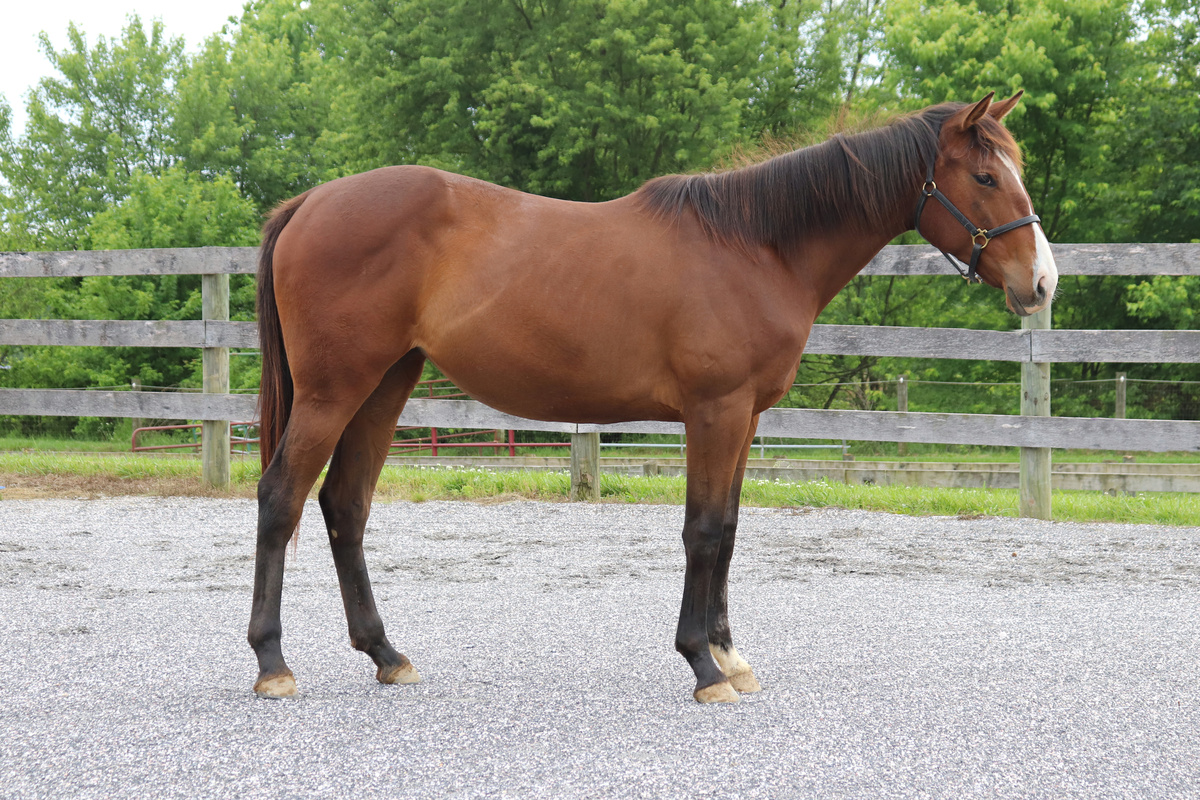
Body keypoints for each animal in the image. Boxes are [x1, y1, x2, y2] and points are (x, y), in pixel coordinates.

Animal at [248, 91, 1058, 703]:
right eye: (985, 176)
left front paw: (731, 658)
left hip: (386, 384)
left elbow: (727, 530)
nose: (1042, 282)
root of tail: (310, 202)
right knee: (282, 498)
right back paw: (272, 663)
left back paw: (386, 654)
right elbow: (702, 531)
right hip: (334, 391)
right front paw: (702, 666)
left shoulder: (745, 417)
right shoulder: (715, 411)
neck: (755, 247)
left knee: (344, 506)